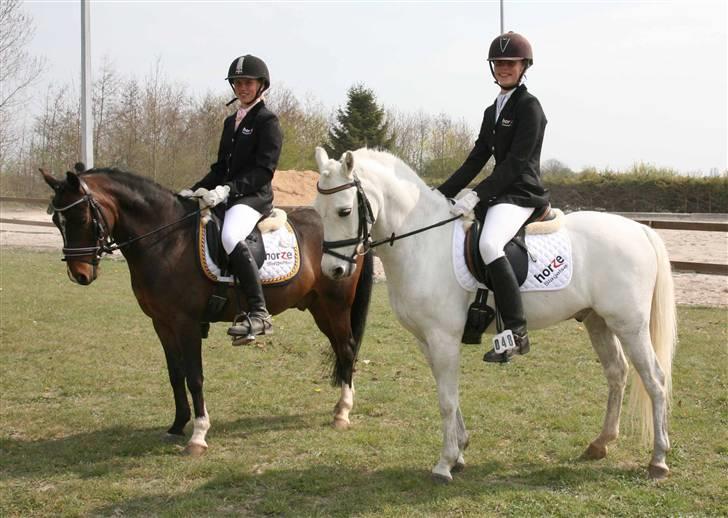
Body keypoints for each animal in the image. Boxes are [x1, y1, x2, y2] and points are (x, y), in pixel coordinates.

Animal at [40, 169, 372, 458]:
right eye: (56, 219)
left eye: (82, 217)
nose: (79, 274)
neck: (167, 240)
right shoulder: (161, 323)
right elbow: (176, 374)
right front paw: (176, 426)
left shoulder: (185, 323)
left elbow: (195, 377)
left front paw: (198, 436)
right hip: (318, 307)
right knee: (341, 350)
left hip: (335, 304)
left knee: (346, 349)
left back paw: (342, 413)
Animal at [312, 148, 676, 486]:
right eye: (317, 210)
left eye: (345, 211)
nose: (334, 271)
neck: (423, 243)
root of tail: (640, 230)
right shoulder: (427, 341)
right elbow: (448, 394)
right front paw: (460, 452)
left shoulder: (443, 338)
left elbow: (446, 400)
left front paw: (444, 464)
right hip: (597, 321)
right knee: (617, 374)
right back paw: (600, 444)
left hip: (630, 325)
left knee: (655, 380)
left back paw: (658, 460)